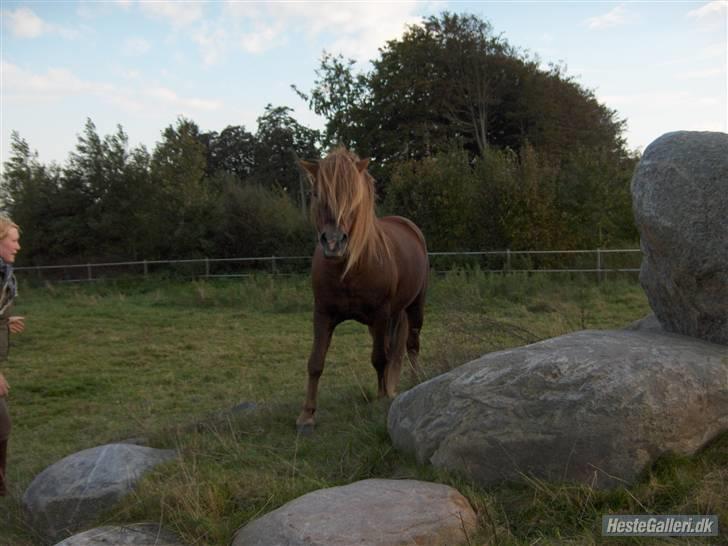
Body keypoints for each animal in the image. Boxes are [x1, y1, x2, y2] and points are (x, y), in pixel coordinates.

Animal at [298, 147, 430, 428]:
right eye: (316, 194)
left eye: (353, 197)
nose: (333, 243)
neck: (347, 270)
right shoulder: (322, 314)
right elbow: (315, 362)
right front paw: (307, 414)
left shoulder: (380, 314)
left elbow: (379, 358)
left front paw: (381, 399)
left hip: (414, 307)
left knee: (411, 345)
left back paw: (414, 383)